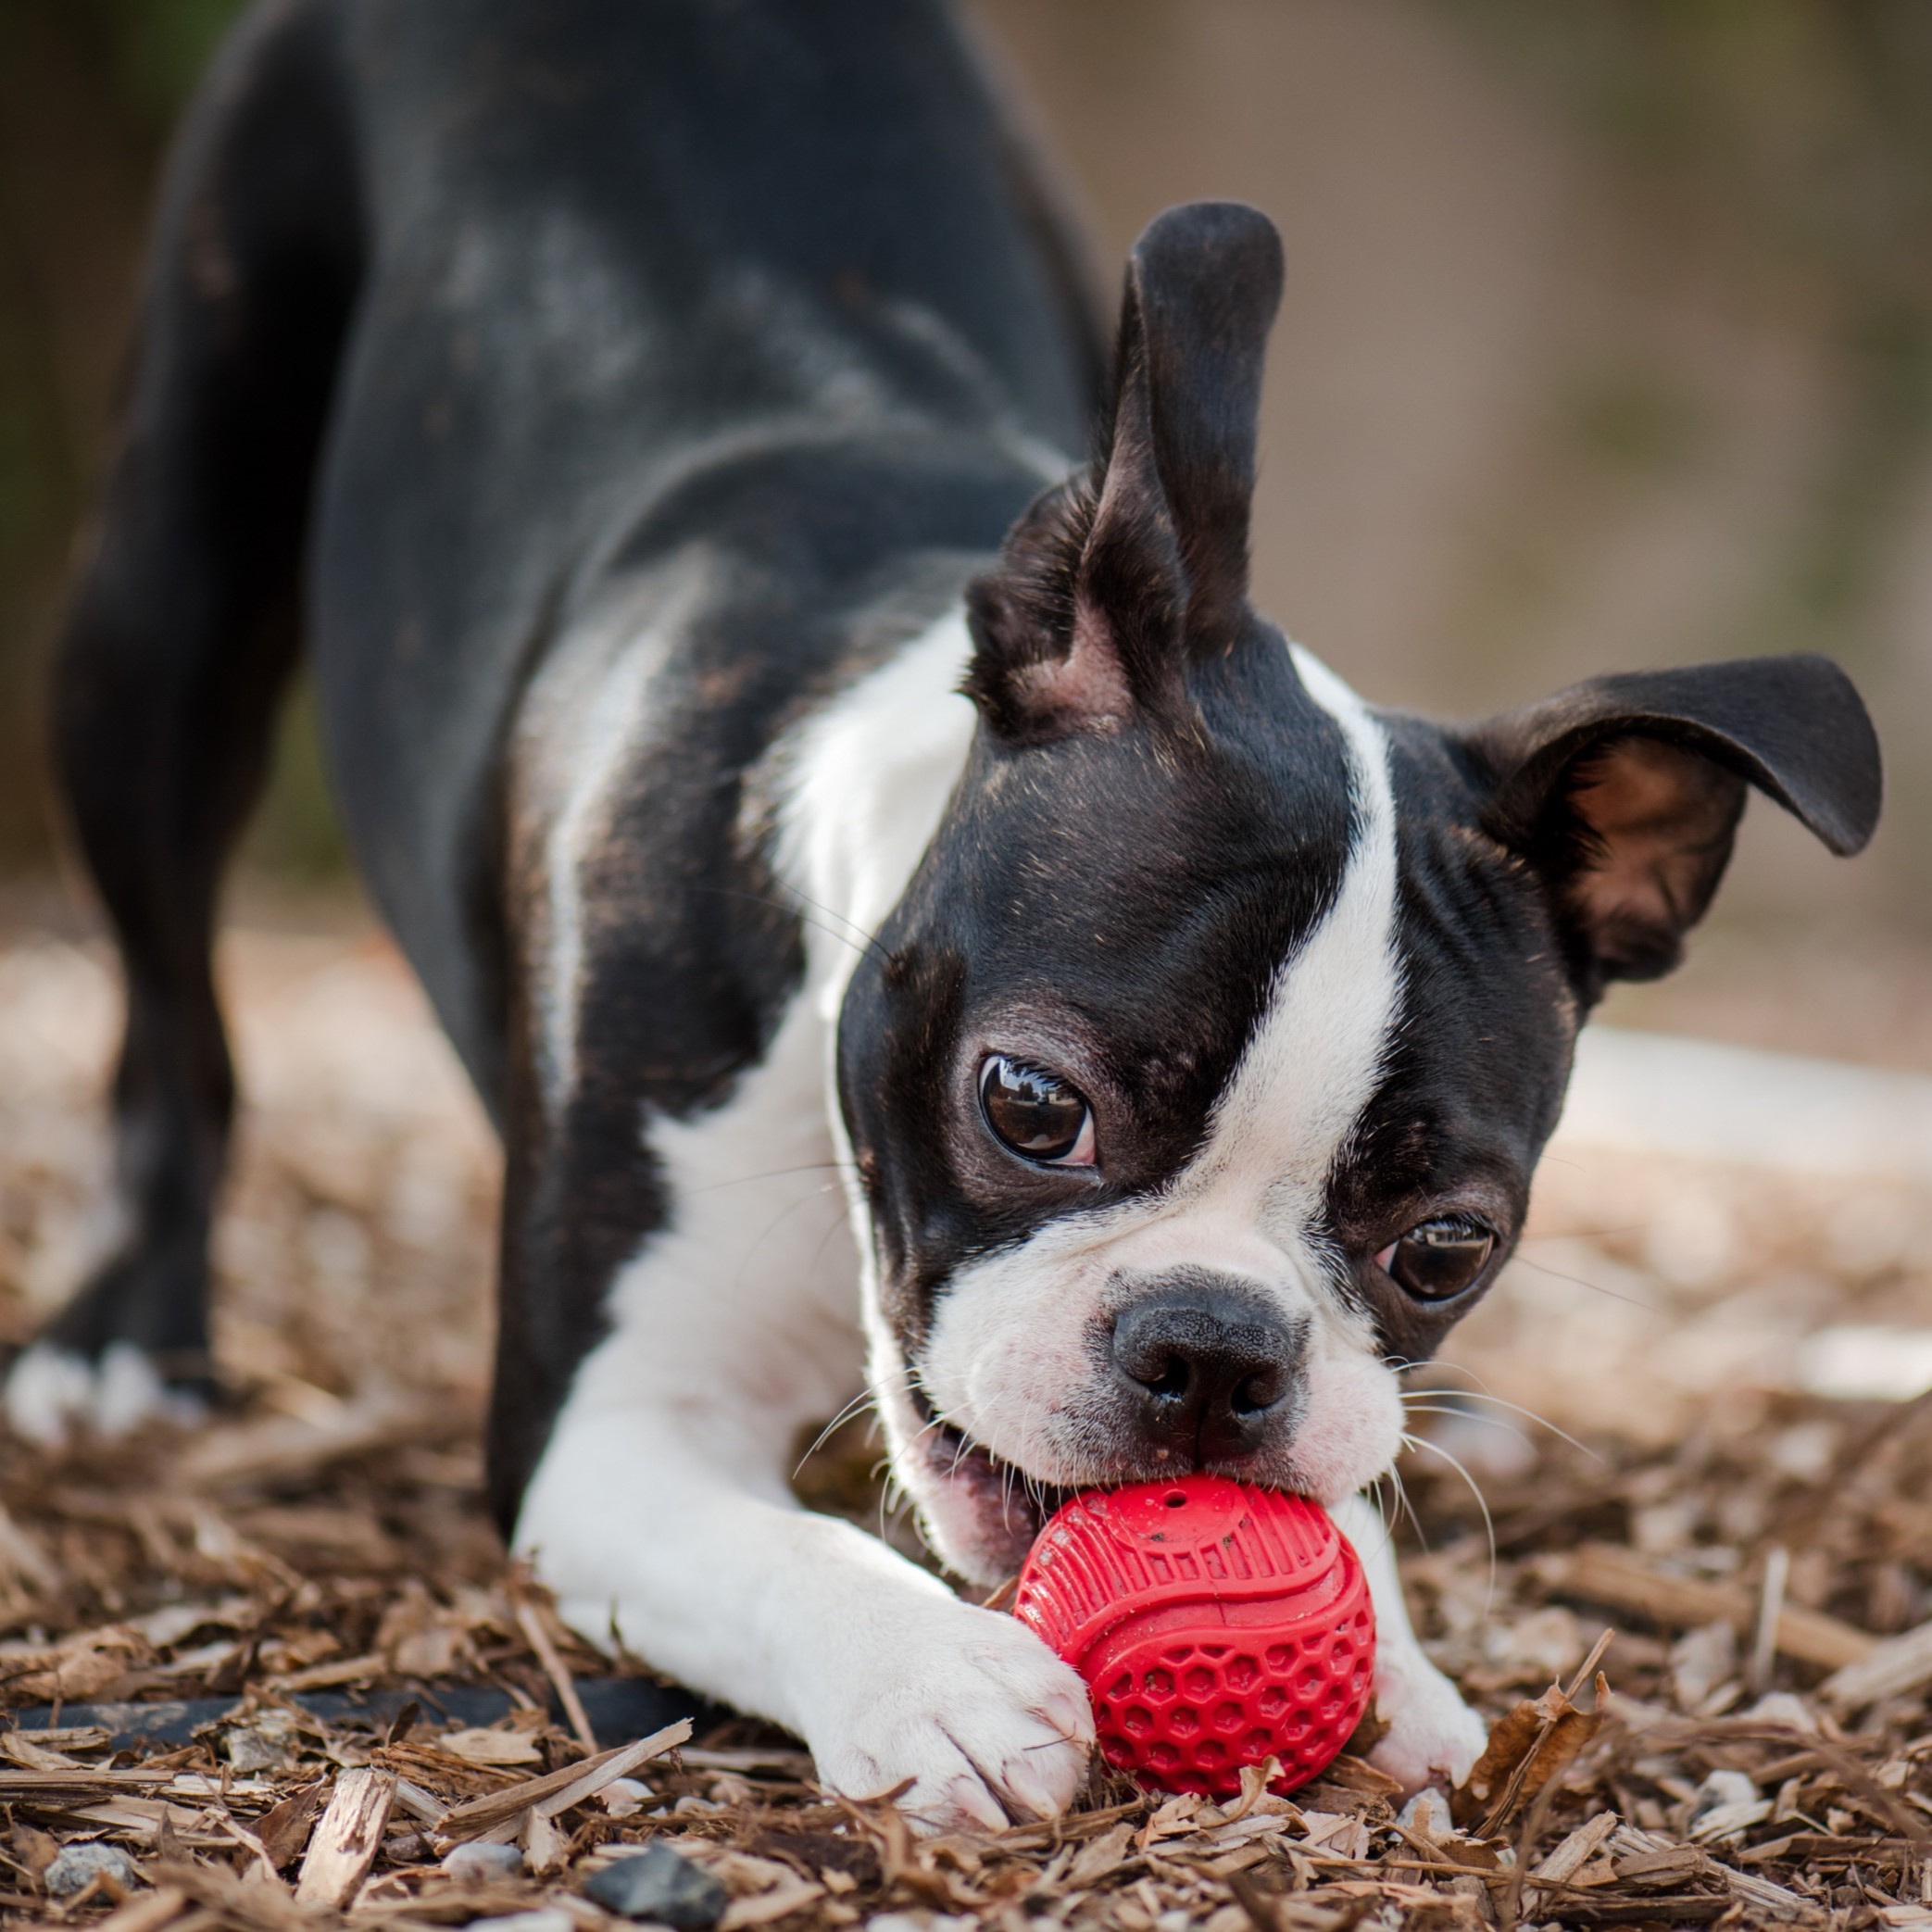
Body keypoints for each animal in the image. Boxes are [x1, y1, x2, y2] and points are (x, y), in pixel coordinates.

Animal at [7, 0, 1877, 1824]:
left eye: (1447, 1245)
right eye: (1031, 1105)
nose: (1212, 1354)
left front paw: (1396, 1651)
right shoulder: (604, 1418)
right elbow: (770, 1551)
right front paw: (937, 1679)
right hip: (161, 605)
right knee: (170, 999)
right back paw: (123, 1337)